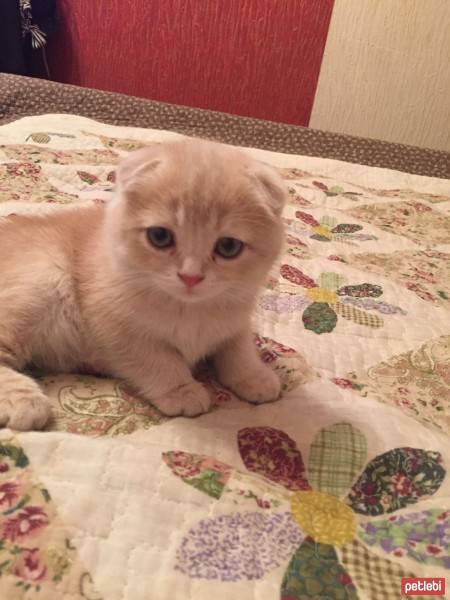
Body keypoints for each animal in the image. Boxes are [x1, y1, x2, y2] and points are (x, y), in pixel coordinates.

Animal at [0, 139, 286, 432]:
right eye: (159, 236)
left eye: (229, 246)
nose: (190, 276)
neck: (189, 310)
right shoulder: (114, 328)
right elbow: (158, 360)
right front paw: (181, 390)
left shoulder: (236, 317)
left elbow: (238, 347)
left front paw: (254, 376)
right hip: (43, 277)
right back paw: (23, 400)